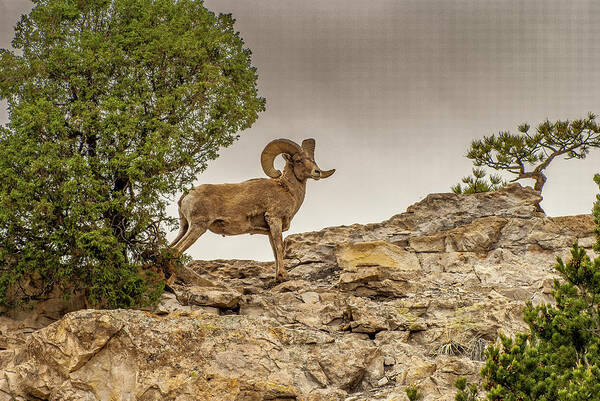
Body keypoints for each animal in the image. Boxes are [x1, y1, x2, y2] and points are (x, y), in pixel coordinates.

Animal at [171, 139, 336, 280]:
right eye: (298, 160)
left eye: (312, 159)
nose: (317, 172)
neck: (287, 189)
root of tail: (186, 195)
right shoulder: (274, 219)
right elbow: (279, 247)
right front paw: (284, 276)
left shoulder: (269, 230)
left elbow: (275, 252)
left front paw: (278, 277)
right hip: (198, 226)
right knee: (176, 251)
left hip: (185, 228)